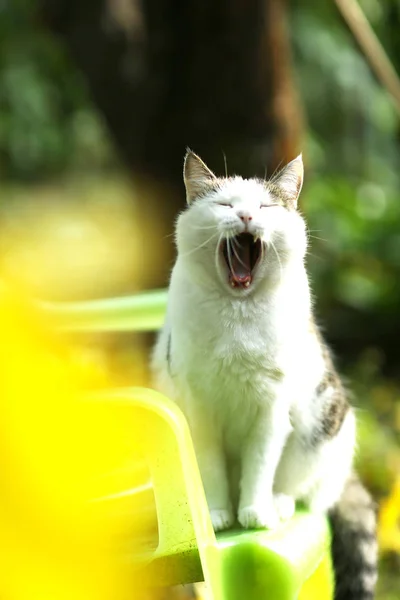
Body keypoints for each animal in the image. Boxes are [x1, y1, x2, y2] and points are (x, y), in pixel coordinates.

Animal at [151, 150, 378, 600]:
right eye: (224, 204)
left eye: (266, 207)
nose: (245, 216)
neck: (237, 313)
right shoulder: (199, 411)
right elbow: (212, 469)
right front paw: (219, 514)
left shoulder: (271, 411)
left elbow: (259, 464)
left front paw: (254, 513)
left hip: (325, 428)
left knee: (306, 491)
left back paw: (279, 504)